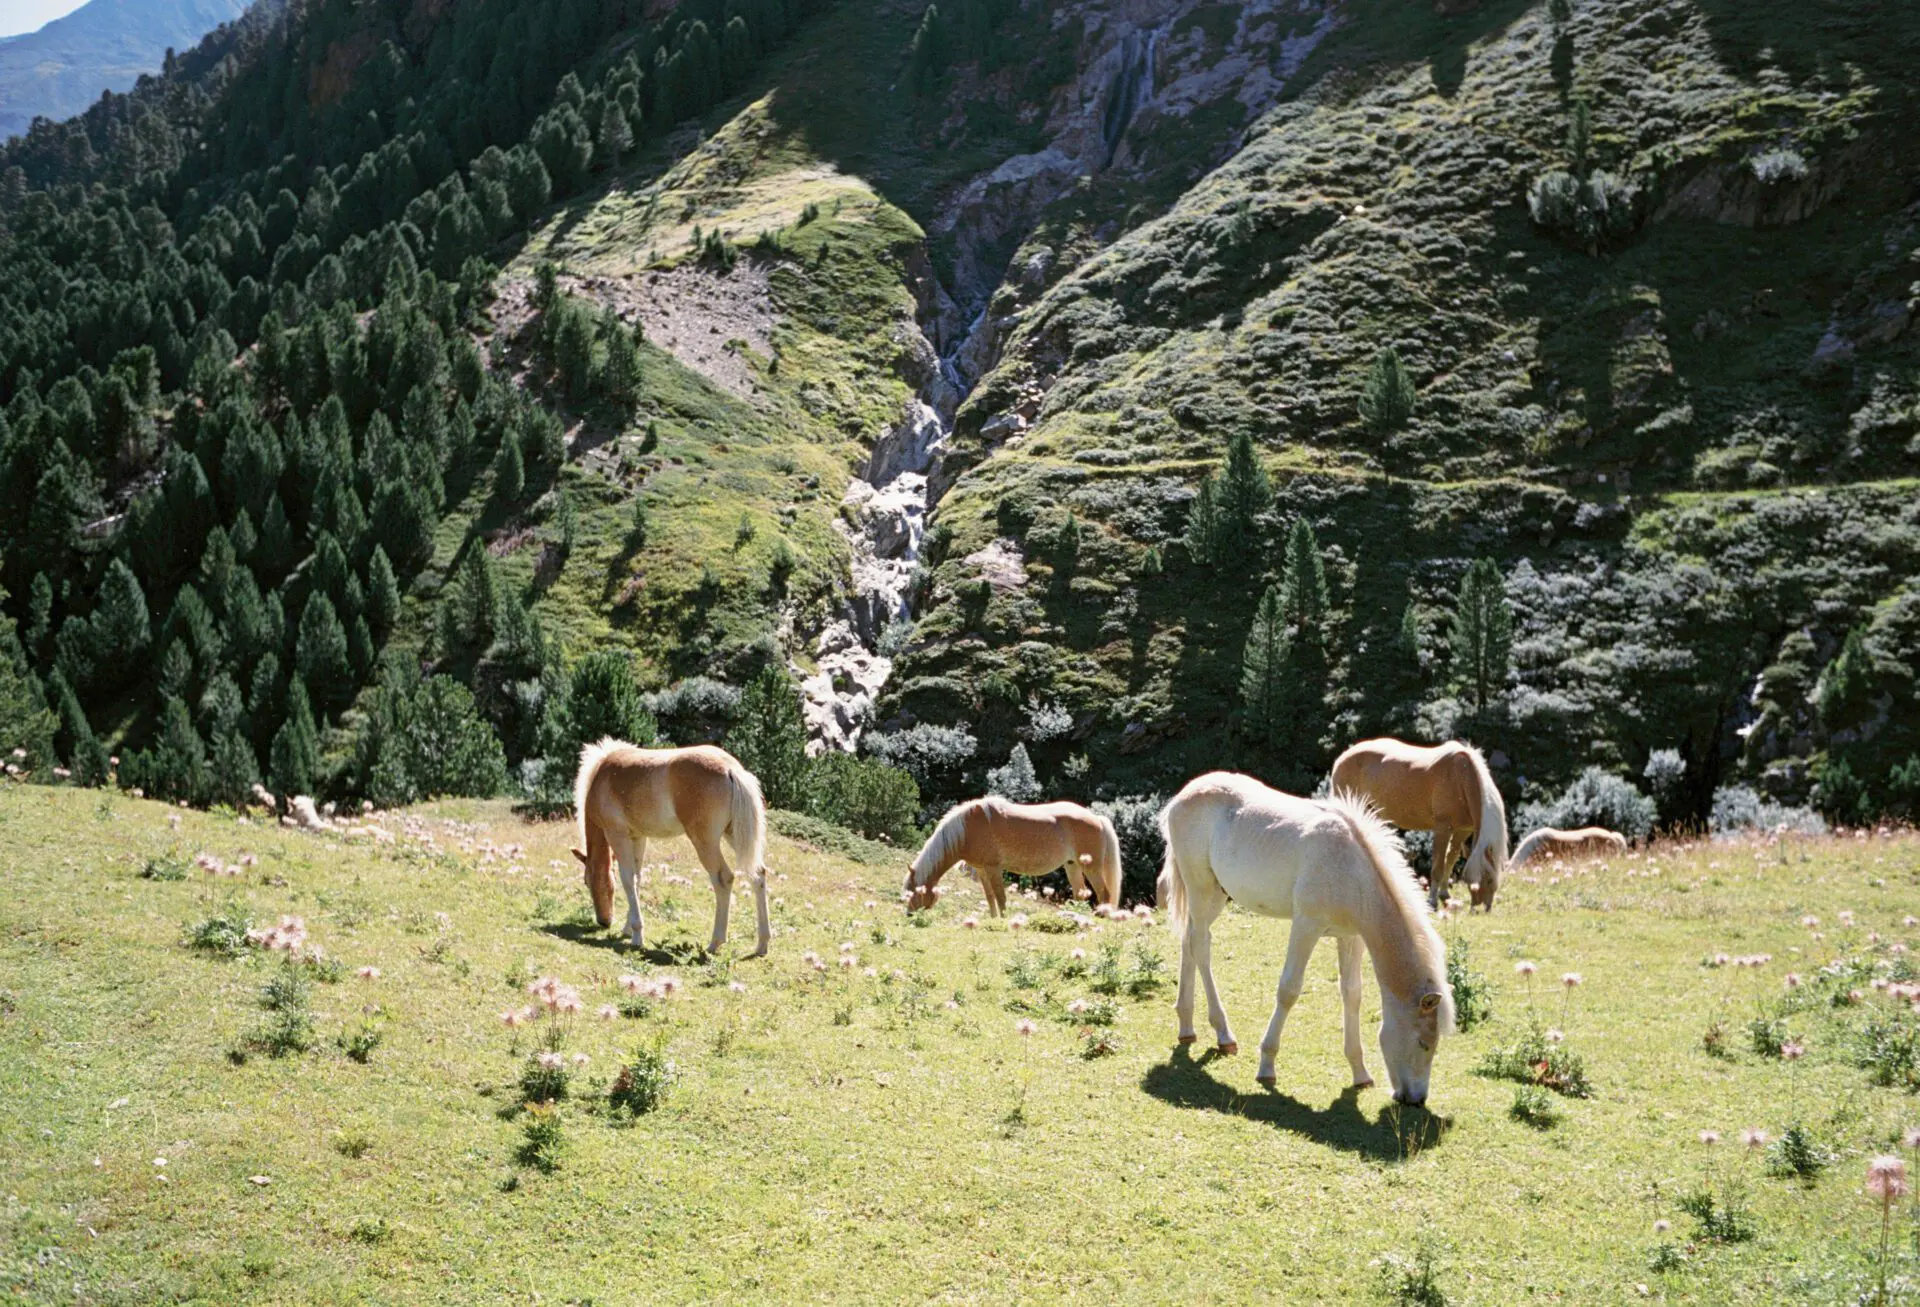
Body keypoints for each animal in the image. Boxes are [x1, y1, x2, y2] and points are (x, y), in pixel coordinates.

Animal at [568, 733, 771, 959]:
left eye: (587, 882)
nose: (603, 922)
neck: (602, 775)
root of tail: (731, 769)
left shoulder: (617, 835)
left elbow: (628, 879)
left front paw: (636, 936)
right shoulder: (638, 837)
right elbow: (637, 879)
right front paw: (628, 929)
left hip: (705, 842)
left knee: (723, 879)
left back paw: (714, 943)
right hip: (734, 834)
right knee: (758, 875)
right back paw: (762, 945)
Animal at [902, 790, 1121, 913]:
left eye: (914, 892)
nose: (910, 915)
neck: (967, 829)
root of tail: (1097, 818)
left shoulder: (993, 868)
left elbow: (1000, 897)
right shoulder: (982, 870)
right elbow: (990, 898)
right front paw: (993, 920)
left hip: (1091, 867)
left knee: (1104, 893)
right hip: (1072, 866)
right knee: (1080, 894)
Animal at [1152, 771, 1451, 1105]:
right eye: (1424, 1043)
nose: (1416, 1099)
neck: (1352, 870)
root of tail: (1182, 797)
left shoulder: (1351, 937)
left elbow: (1352, 993)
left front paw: (1360, 1073)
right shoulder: (1306, 926)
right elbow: (1289, 990)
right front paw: (1267, 1065)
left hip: (1216, 894)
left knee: (1189, 938)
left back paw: (1186, 1026)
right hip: (1200, 888)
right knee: (1201, 946)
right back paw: (1224, 1034)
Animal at [1328, 733, 1505, 905]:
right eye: (1489, 879)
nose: (1484, 907)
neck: (1461, 777)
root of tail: (1342, 758)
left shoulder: (1462, 830)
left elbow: (1450, 859)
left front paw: (1444, 894)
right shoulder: (1443, 828)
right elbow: (1438, 866)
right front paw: (1432, 900)